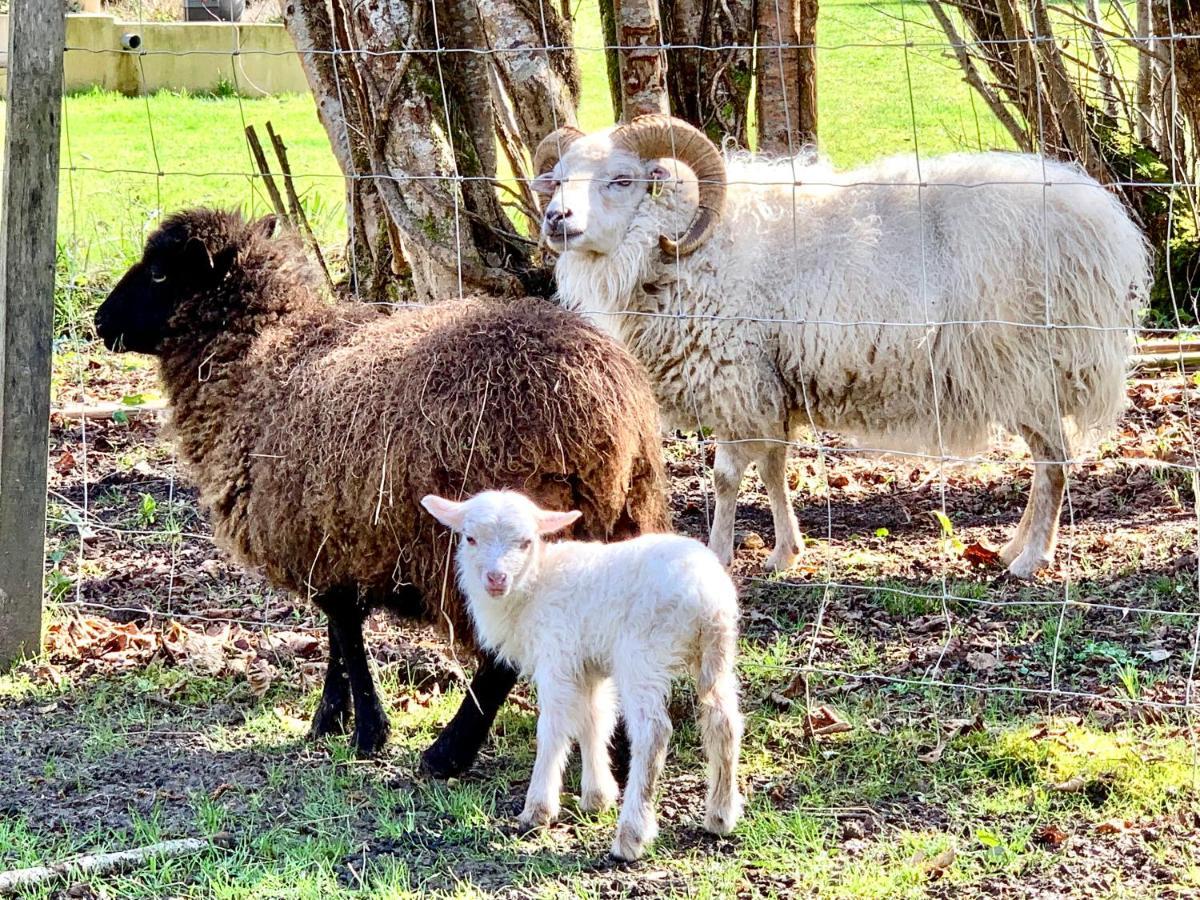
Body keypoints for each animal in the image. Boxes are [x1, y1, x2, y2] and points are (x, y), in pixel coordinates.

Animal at [94, 207, 672, 772]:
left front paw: (367, 731)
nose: (100, 323)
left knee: (499, 659)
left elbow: (347, 634)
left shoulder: (320, 536)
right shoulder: (335, 541)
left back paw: (447, 754)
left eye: (160, 272)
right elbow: (337, 634)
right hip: (625, 518)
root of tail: (611, 406)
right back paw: (620, 751)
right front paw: (331, 719)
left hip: (485, 535)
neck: (255, 363)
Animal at [420, 489, 739, 864]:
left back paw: (631, 836)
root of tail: (706, 596)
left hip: (643, 654)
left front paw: (538, 809)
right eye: (470, 538)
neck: (534, 585)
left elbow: (554, 727)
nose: (496, 579)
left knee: (653, 734)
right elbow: (594, 720)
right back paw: (720, 815)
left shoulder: (557, 656)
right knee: (723, 722)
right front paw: (597, 796)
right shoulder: (587, 666)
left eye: (526, 542)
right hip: (717, 651)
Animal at [535, 116, 1152, 578]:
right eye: (559, 178)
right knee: (1051, 461)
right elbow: (774, 468)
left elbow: (727, 477)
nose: (554, 218)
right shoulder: (769, 384)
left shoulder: (736, 379)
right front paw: (786, 552)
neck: (686, 244)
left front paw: (717, 553)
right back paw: (1011, 547)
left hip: (1024, 364)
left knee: (1054, 463)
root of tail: (1107, 230)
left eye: (621, 179)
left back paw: (1031, 559)